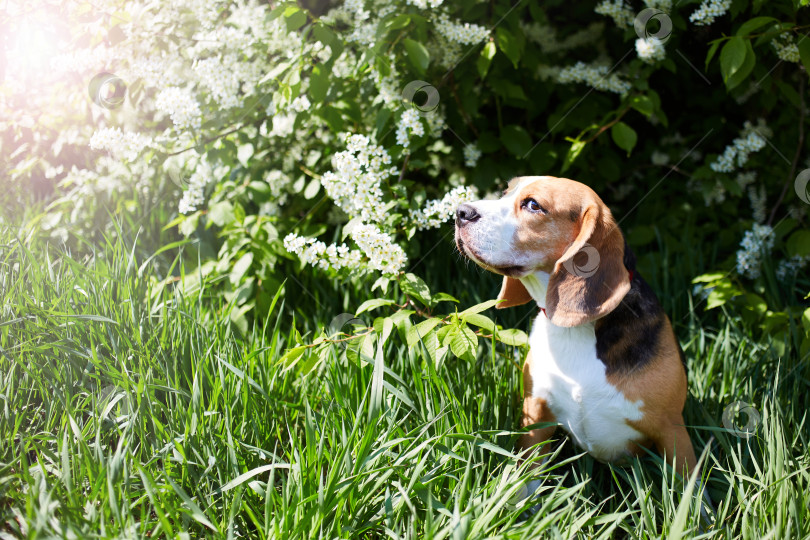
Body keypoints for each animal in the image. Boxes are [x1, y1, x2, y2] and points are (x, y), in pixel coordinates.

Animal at [452, 176, 696, 476]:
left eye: (533, 205)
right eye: (506, 191)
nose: (461, 212)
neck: (573, 330)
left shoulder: (673, 431)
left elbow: (689, 487)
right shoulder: (535, 416)